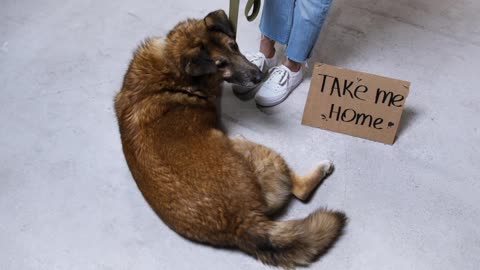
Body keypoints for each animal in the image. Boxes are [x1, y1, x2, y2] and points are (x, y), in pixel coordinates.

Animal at [114, 10, 346, 268]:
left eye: (234, 46)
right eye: (220, 64)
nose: (259, 76)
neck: (172, 68)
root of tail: (242, 223)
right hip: (249, 147)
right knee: (300, 190)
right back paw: (323, 167)